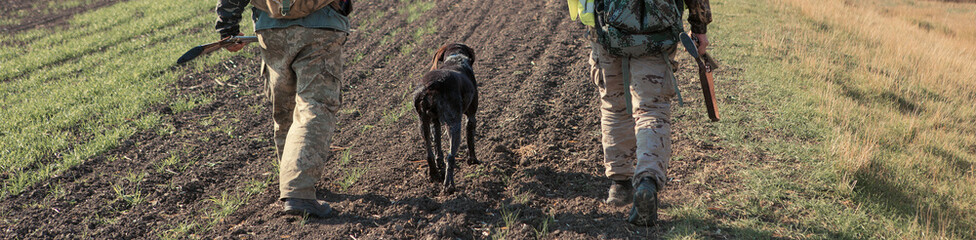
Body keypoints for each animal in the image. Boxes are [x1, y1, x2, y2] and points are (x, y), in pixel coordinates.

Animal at [412, 42, 480, 193]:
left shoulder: (434, 122)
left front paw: (440, 166)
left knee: (429, 153)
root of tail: (431, 86)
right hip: (454, 124)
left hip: (423, 124)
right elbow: (470, 142)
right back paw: (449, 185)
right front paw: (473, 161)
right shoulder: (471, 117)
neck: (455, 57)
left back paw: (434, 175)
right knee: (451, 156)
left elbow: (437, 148)